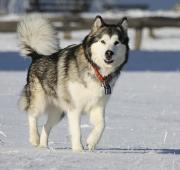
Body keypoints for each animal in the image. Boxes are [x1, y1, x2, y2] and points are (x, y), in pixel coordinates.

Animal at [16, 13, 129, 152]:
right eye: (103, 41)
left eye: (116, 42)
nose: (109, 53)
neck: (95, 69)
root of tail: (37, 56)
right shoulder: (74, 108)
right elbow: (76, 131)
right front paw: (78, 150)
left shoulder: (98, 106)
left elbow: (102, 125)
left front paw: (91, 142)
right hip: (40, 101)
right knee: (31, 114)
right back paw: (34, 138)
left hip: (59, 112)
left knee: (46, 126)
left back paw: (43, 146)